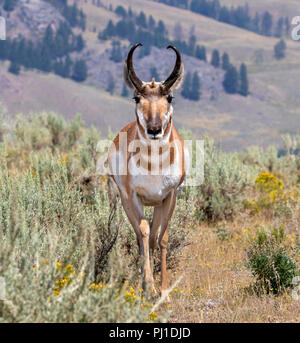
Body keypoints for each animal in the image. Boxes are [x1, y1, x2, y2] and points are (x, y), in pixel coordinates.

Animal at [106, 43, 189, 298]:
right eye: (136, 97)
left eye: (169, 96)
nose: (154, 129)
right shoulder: (133, 198)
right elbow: (143, 232)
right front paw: (149, 285)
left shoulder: (170, 196)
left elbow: (162, 238)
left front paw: (163, 289)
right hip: (126, 203)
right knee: (140, 235)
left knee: (153, 237)